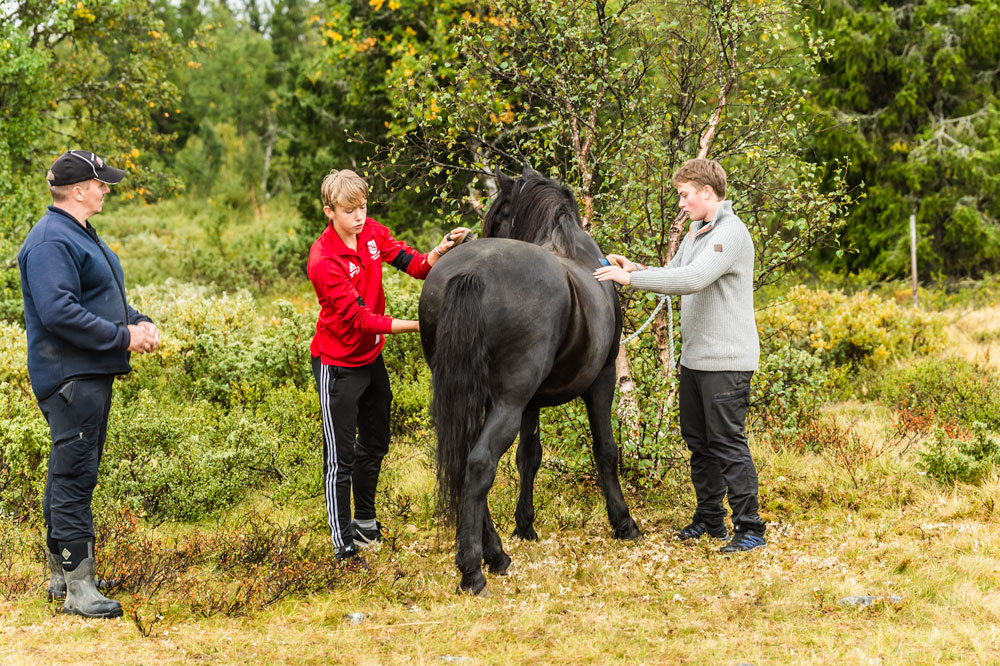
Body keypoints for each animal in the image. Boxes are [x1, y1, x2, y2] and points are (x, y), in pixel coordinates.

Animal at [416, 166, 640, 592]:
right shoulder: (601, 379)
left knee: (464, 461)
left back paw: (495, 554)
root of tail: (470, 273)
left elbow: (528, 457)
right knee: (480, 464)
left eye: (497, 216)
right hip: (508, 402)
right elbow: (606, 450)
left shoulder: (532, 402)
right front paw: (624, 522)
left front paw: (524, 525)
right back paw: (473, 569)